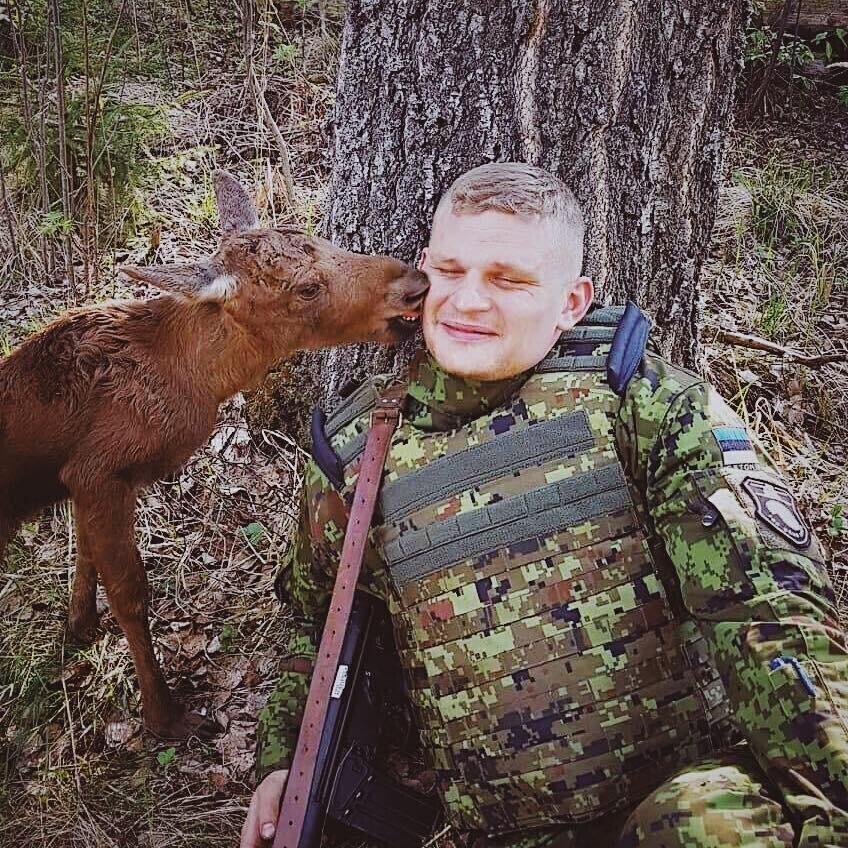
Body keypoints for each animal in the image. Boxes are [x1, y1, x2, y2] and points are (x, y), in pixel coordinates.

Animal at [0, 171, 427, 739]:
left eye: (323, 240)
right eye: (306, 288)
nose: (413, 282)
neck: (196, 381)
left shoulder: (83, 476)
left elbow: (86, 550)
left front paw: (80, 624)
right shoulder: (99, 471)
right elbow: (131, 593)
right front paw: (165, 716)